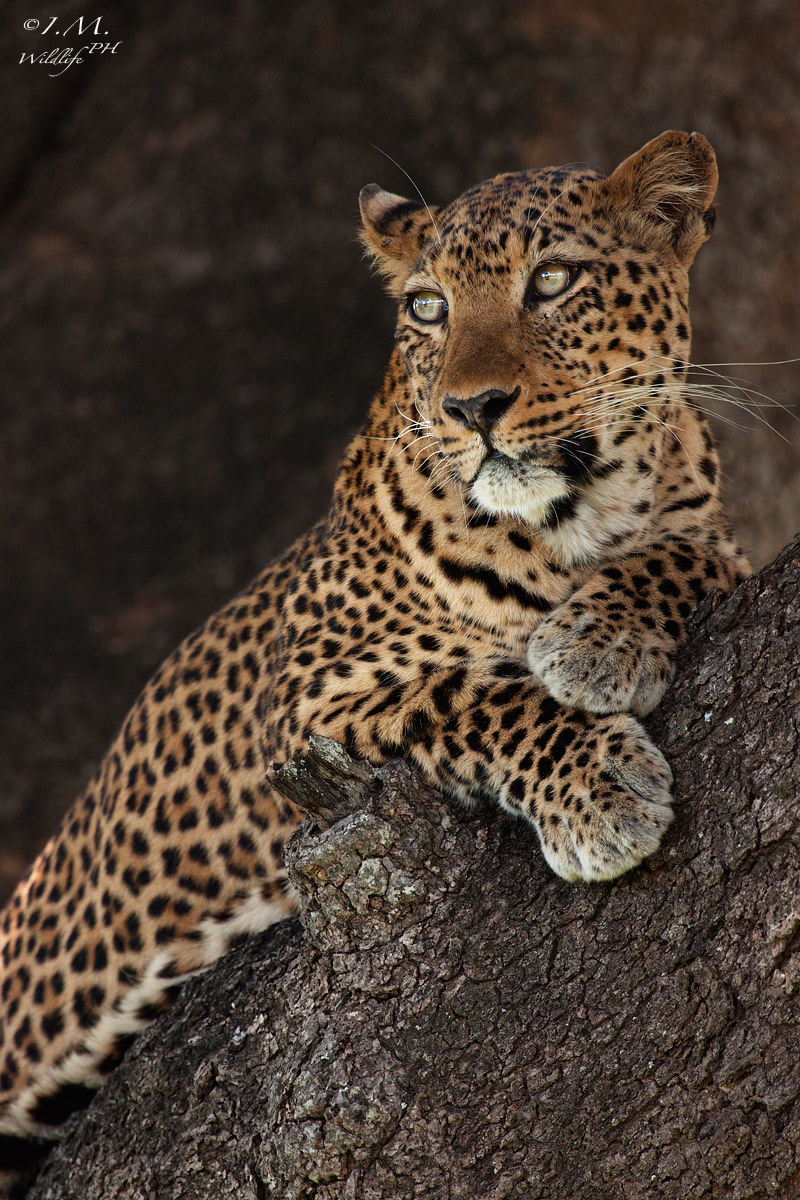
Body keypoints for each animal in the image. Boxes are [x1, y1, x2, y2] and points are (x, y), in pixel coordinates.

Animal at [0, 130, 750, 1195]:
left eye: (552, 280)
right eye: (428, 307)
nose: (473, 407)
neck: (576, 515)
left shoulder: (716, 540)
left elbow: (677, 555)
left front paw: (596, 642)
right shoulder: (313, 693)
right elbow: (470, 695)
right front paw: (599, 788)